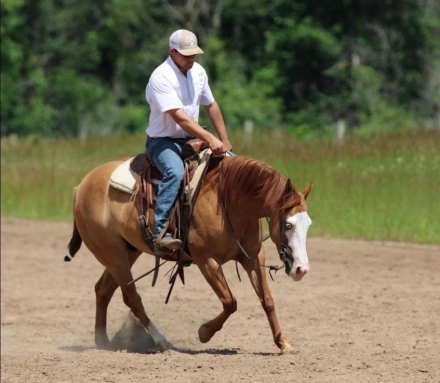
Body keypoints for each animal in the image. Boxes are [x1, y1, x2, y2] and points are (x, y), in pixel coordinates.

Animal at [65, 154, 312, 356]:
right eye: (288, 224)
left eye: (308, 224)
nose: (302, 269)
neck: (228, 201)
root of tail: (81, 186)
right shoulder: (206, 260)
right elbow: (230, 302)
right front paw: (204, 332)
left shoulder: (253, 256)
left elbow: (267, 300)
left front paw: (283, 344)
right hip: (113, 253)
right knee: (131, 297)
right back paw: (162, 342)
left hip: (127, 250)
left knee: (103, 289)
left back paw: (103, 342)